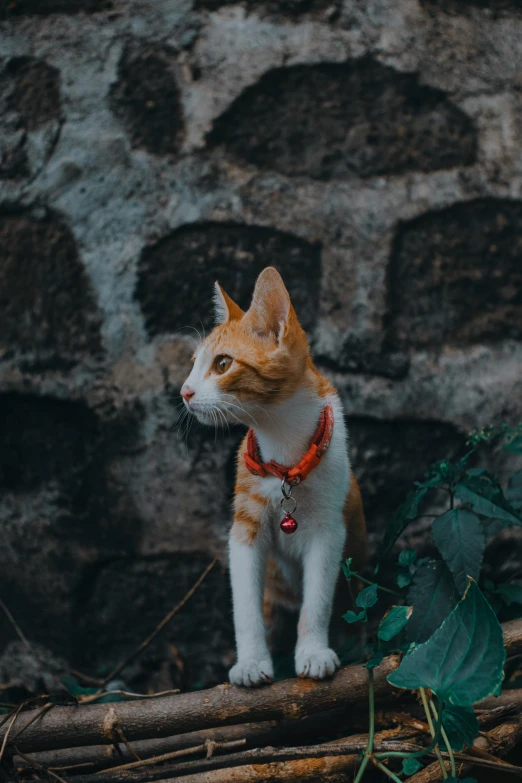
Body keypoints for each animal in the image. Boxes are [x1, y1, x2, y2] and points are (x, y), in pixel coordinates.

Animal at [180, 268, 366, 688]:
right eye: (194, 364)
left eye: (222, 364)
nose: (184, 392)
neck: (284, 447)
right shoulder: (244, 528)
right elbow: (245, 605)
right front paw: (251, 661)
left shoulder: (330, 528)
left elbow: (318, 599)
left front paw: (313, 652)